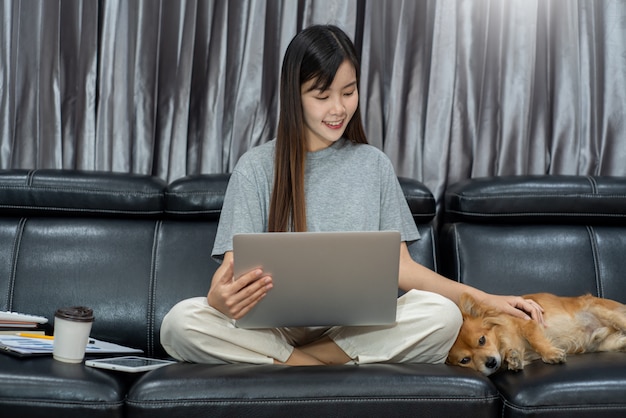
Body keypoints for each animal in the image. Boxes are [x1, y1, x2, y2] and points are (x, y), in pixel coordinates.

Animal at [444, 292, 624, 378]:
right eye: (465, 360)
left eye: (482, 340)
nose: (490, 363)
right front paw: (513, 358)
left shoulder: (528, 322)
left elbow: (536, 340)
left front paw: (551, 354)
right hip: (605, 343)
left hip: (605, 312)